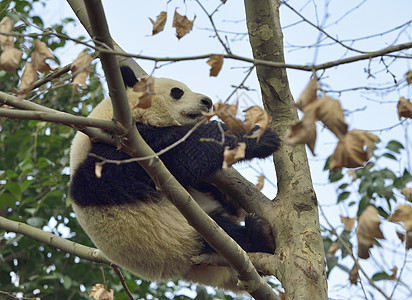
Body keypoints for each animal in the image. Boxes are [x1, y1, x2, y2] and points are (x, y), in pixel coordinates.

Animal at [70, 65, 280, 290]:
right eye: (177, 92)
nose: (207, 102)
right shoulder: (122, 150)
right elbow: (186, 152)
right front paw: (259, 136)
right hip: (182, 238)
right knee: (226, 234)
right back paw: (259, 235)